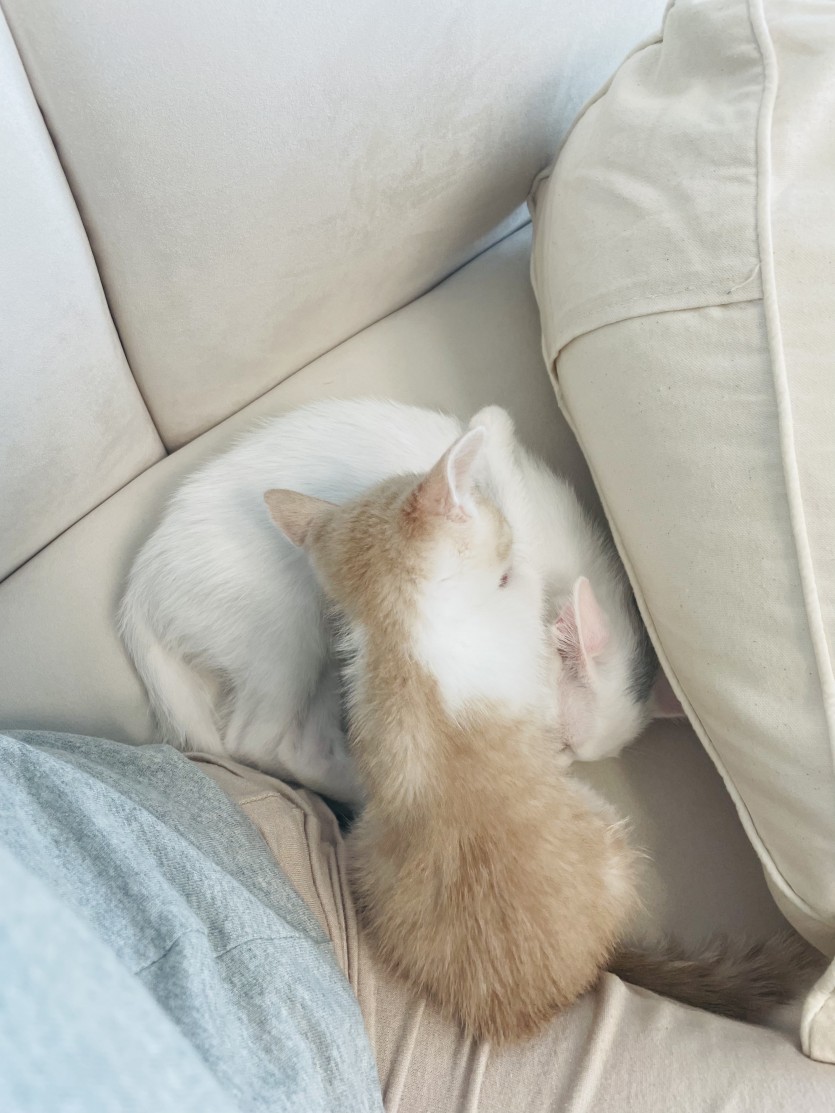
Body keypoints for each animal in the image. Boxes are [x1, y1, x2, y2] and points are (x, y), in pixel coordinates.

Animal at [120, 398, 680, 805]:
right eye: (557, 742)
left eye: (570, 756)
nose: (557, 768)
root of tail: (137, 593)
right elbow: (492, 427)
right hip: (284, 629)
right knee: (254, 741)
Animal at [265, 424, 813, 1043]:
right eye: (493, 523)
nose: (564, 761)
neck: (401, 627)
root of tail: (564, 986)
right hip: (611, 837)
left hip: (367, 847)